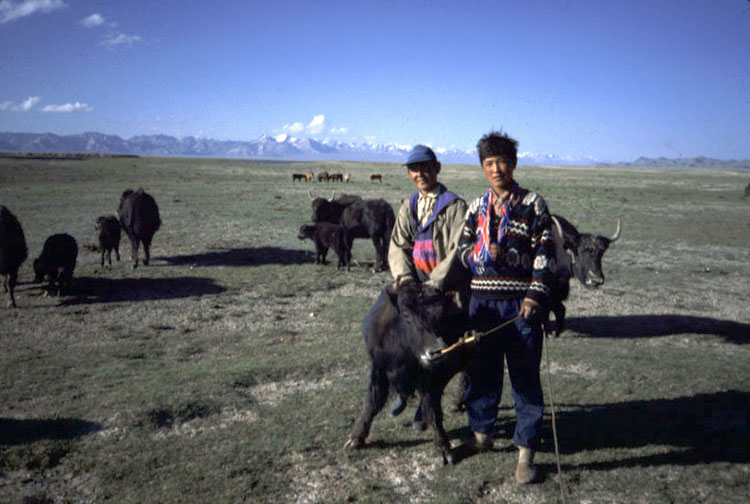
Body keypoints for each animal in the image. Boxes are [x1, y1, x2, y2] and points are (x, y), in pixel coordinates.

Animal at [346, 282, 470, 462]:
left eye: (442, 316)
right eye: (406, 316)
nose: (436, 352)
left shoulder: (430, 379)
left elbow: (433, 410)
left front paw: (444, 449)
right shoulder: (379, 368)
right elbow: (372, 402)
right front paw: (355, 439)